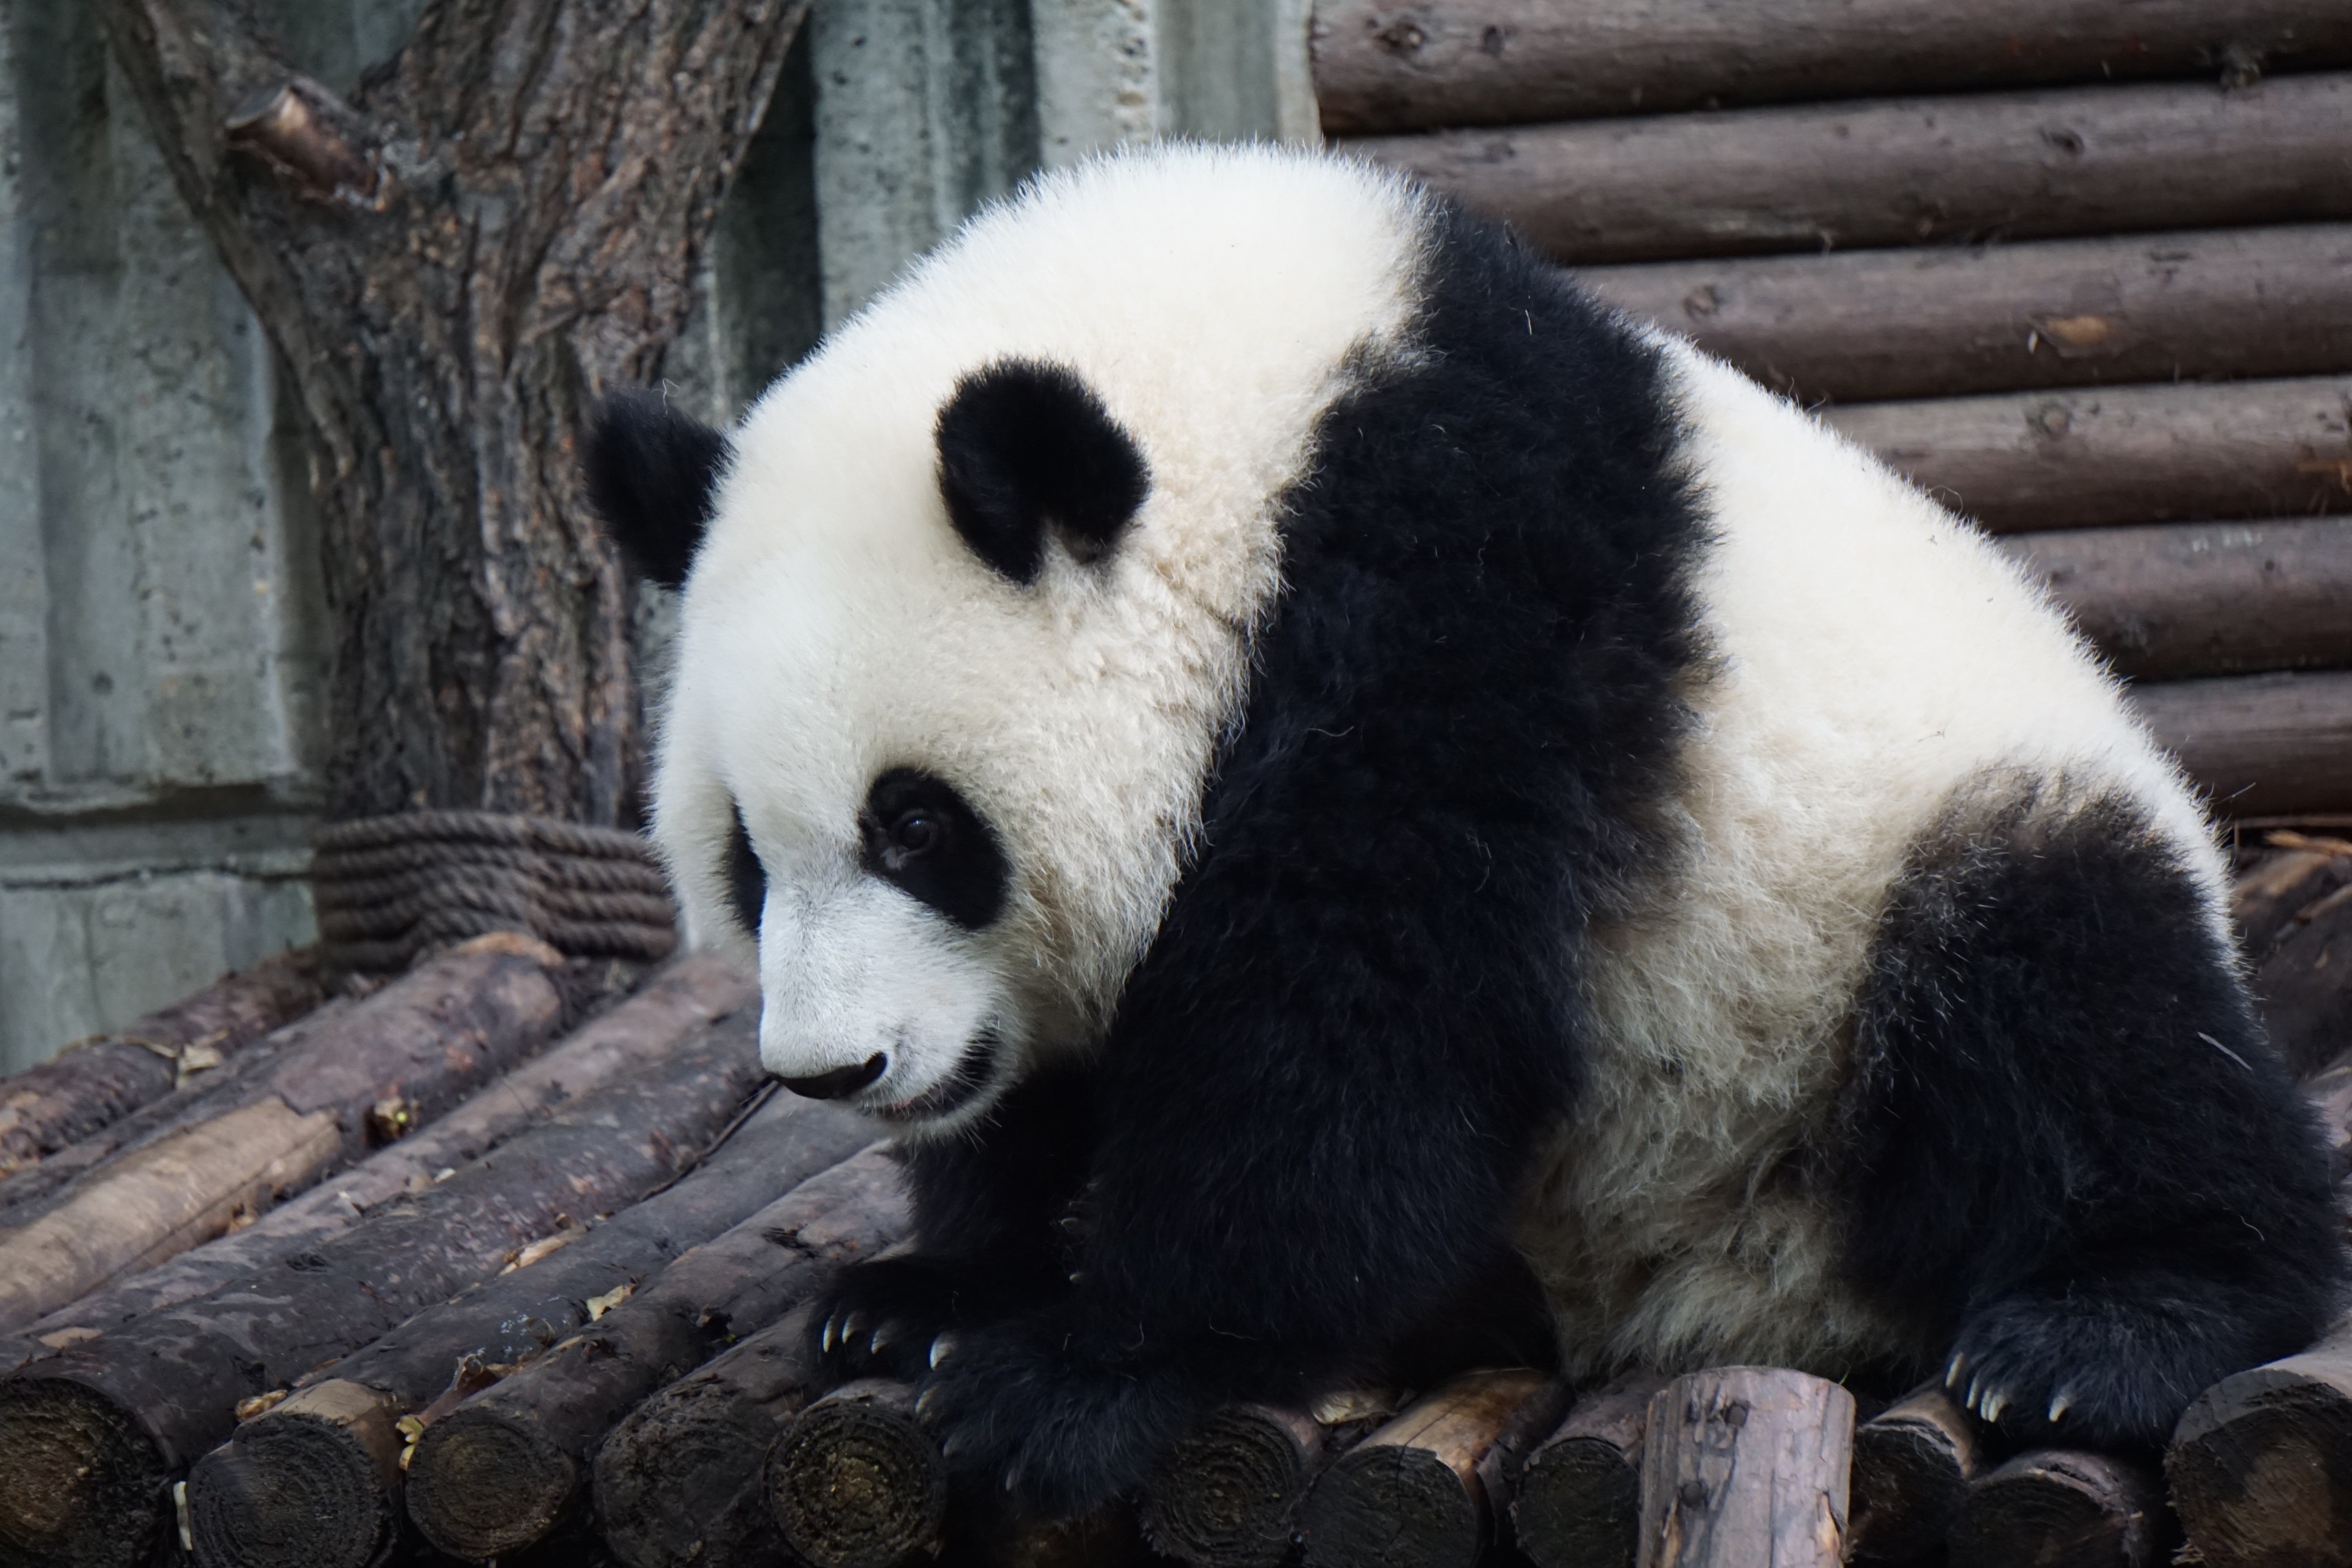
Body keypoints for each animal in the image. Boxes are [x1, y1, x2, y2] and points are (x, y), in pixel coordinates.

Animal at [579, 141, 2343, 1514]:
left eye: (918, 827)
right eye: (746, 857)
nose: (839, 1070)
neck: (1257, 414)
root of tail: (1730, 1292)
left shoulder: (1452, 608)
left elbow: (1354, 1031)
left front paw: (1084, 1372)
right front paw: (926, 1297)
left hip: (1899, 893)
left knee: (2070, 1006)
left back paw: (2101, 1328)